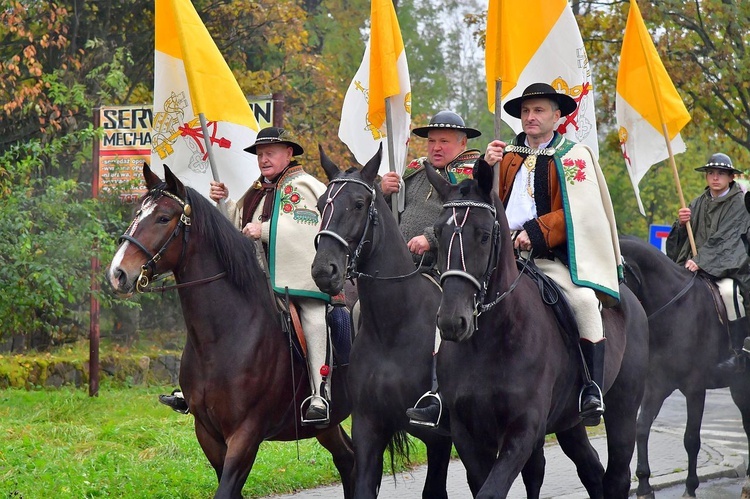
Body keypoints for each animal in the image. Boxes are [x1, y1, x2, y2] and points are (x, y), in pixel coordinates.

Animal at [107, 165, 356, 499]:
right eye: (138, 212)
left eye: (163, 218)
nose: (118, 273)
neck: (221, 338)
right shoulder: (208, 434)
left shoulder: (246, 434)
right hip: (326, 425)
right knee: (349, 459)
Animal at [310, 148, 456, 499]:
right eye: (321, 204)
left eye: (359, 204)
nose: (324, 270)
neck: (393, 328)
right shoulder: (369, 429)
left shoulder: (438, 437)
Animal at [424, 161, 652, 499]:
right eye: (438, 234)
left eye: (483, 236)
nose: (453, 321)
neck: (489, 343)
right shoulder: (468, 435)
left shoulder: (523, 430)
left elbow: (493, 490)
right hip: (570, 422)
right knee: (591, 470)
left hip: (622, 409)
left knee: (616, 477)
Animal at [620, 235, 750, 499]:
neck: (675, 310)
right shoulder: (655, 387)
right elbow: (642, 427)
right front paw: (644, 486)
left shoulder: (695, 389)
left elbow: (691, 439)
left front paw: (690, 488)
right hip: (739, 385)